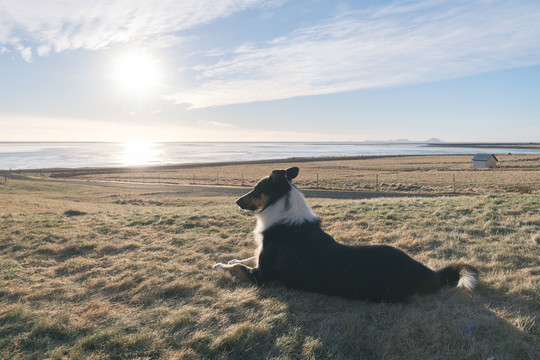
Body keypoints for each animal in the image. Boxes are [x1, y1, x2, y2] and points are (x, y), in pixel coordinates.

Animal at [213, 167, 478, 302]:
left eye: (256, 189)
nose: (236, 201)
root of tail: (427, 272)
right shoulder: (259, 258)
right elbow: (245, 258)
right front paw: (228, 259)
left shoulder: (264, 277)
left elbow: (239, 267)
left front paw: (220, 265)